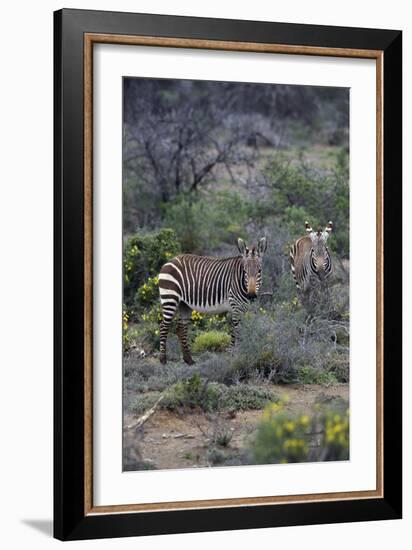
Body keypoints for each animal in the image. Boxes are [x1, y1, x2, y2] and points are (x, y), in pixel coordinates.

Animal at [158, 238, 268, 366]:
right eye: (245, 271)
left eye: (259, 271)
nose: (251, 296)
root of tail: (170, 261)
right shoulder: (235, 306)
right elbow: (236, 331)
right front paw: (233, 354)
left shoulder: (244, 308)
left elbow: (243, 330)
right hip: (170, 298)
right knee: (163, 326)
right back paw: (163, 359)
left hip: (184, 304)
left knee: (181, 328)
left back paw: (188, 359)